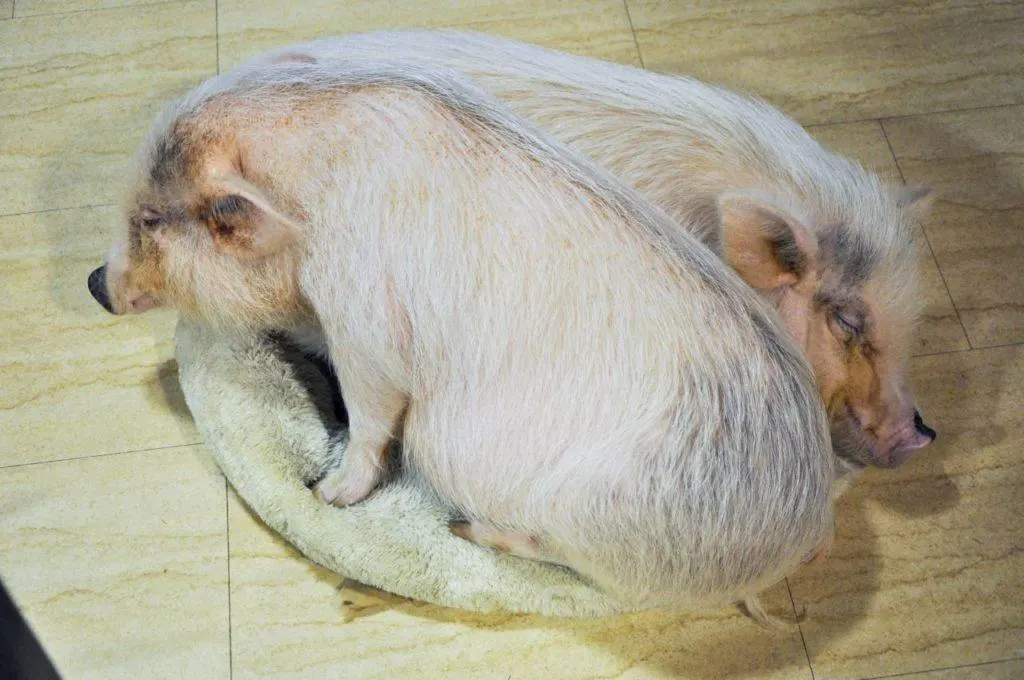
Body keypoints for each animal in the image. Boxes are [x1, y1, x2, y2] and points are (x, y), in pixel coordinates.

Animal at [88, 58, 835, 612]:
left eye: (152, 219)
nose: (96, 283)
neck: (307, 208)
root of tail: (801, 533)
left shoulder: (363, 318)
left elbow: (370, 412)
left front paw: (329, 496)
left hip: (592, 522)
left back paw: (466, 528)